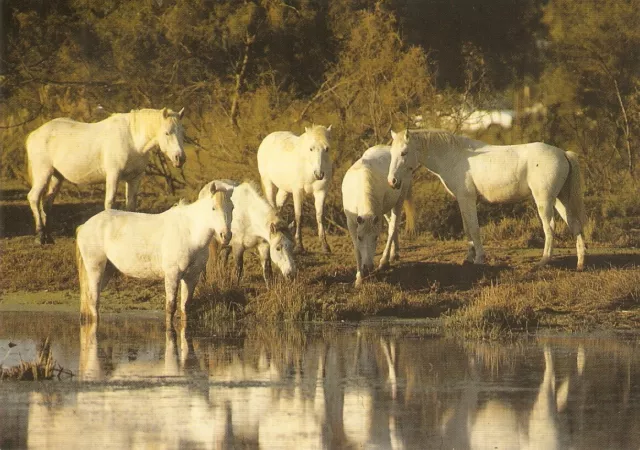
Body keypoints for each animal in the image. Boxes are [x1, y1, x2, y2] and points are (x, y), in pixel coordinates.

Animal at [25, 107, 185, 244]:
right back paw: (40, 236)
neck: (132, 139)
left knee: (47, 203)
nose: (180, 158)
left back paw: (49, 237)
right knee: (34, 198)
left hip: (56, 177)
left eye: (182, 133)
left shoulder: (134, 178)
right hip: (43, 173)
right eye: (167, 132)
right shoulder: (113, 175)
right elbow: (109, 203)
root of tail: (34, 134)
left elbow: (131, 205)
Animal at [75, 180, 235, 326]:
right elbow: (170, 308)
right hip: (95, 268)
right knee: (93, 301)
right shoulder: (172, 275)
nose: (226, 236)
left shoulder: (191, 277)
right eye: (213, 208)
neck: (190, 233)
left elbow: (185, 307)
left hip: (107, 270)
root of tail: (84, 226)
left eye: (232, 207)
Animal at [256, 124, 332, 253]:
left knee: (278, 207)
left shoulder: (321, 192)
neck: (308, 169)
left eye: (326, 149)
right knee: (271, 204)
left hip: (284, 190)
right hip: (268, 182)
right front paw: (299, 246)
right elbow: (299, 216)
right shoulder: (298, 192)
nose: (319, 174)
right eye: (311, 149)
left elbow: (320, 216)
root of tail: (268, 138)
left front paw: (325, 246)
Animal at [342, 146, 412, 286]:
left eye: (376, 237)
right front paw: (359, 277)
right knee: (392, 223)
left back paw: (385, 260)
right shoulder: (351, 222)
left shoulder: (377, 218)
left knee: (393, 226)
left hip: (399, 199)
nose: (368, 267)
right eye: (360, 237)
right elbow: (356, 248)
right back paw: (395, 253)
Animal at [388, 130, 588, 270]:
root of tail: (563, 153)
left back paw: (543, 261)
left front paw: (479, 259)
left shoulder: (468, 200)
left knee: (550, 228)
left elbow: (474, 230)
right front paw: (468, 258)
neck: (455, 156)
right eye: (391, 153)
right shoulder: (463, 201)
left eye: (404, 152)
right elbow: (467, 229)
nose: (392, 181)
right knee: (574, 224)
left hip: (544, 201)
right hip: (560, 199)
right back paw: (580, 263)